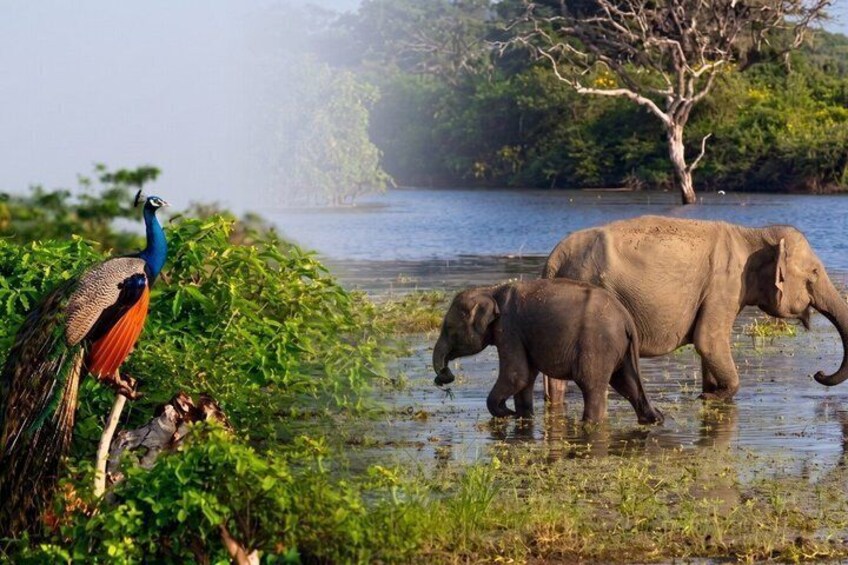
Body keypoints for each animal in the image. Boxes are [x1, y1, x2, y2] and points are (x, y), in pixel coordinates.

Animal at [432, 279, 665, 424]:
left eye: (449, 329)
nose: (444, 377)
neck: (490, 291)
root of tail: (627, 319)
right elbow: (525, 378)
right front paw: (523, 416)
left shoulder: (509, 329)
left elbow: (516, 375)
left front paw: (507, 413)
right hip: (620, 349)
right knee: (627, 383)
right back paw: (654, 418)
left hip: (598, 345)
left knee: (592, 385)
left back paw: (589, 423)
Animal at [542, 215, 848, 403]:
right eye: (815, 273)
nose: (818, 373)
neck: (752, 233)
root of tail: (553, 260)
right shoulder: (723, 286)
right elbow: (708, 340)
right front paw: (710, 397)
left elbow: (709, 348)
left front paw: (710, 392)